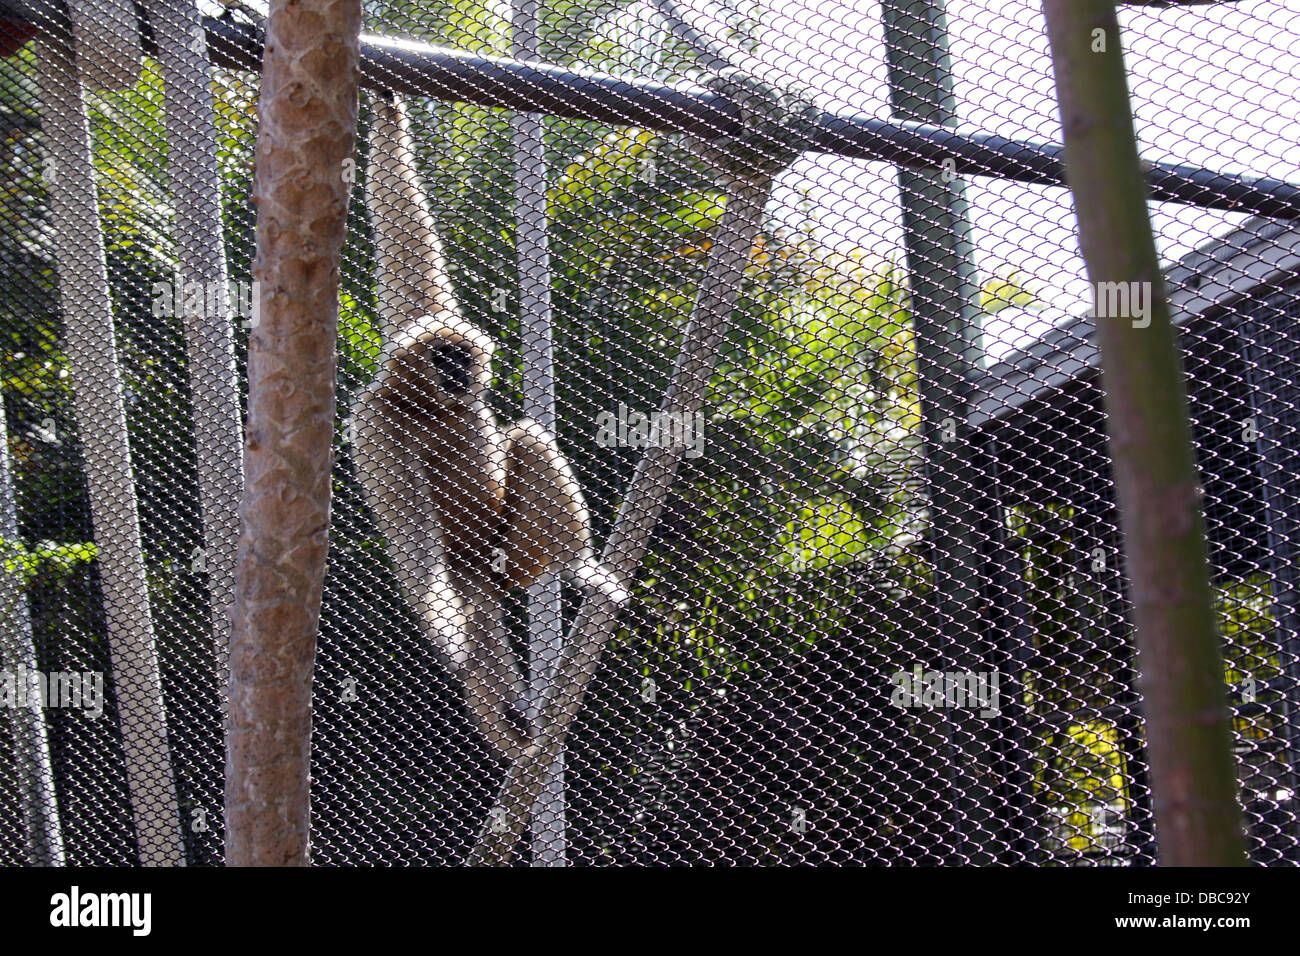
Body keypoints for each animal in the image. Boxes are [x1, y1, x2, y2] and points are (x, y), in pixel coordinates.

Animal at [353, 94, 622, 762]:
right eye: (443, 361)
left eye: (460, 358)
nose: (461, 373)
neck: (425, 406)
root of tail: (484, 577)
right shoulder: (372, 426)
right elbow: (417, 558)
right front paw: (449, 647)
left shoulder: (425, 313)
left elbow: (402, 232)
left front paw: (387, 117)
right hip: (479, 576)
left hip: (513, 555)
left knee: (527, 437)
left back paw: (579, 566)